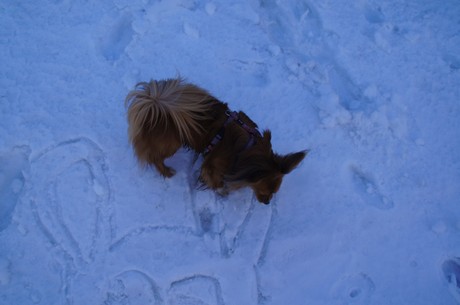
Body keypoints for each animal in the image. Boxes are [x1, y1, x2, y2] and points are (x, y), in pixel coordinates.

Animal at [124, 77, 308, 203]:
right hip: (171, 144)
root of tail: (152, 104)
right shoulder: (211, 167)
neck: (247, 150)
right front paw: (223, 192)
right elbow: (216, 182)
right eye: (266, 192)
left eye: (272, 193)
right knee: (155, 158)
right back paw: (167, 172)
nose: (267, 203)